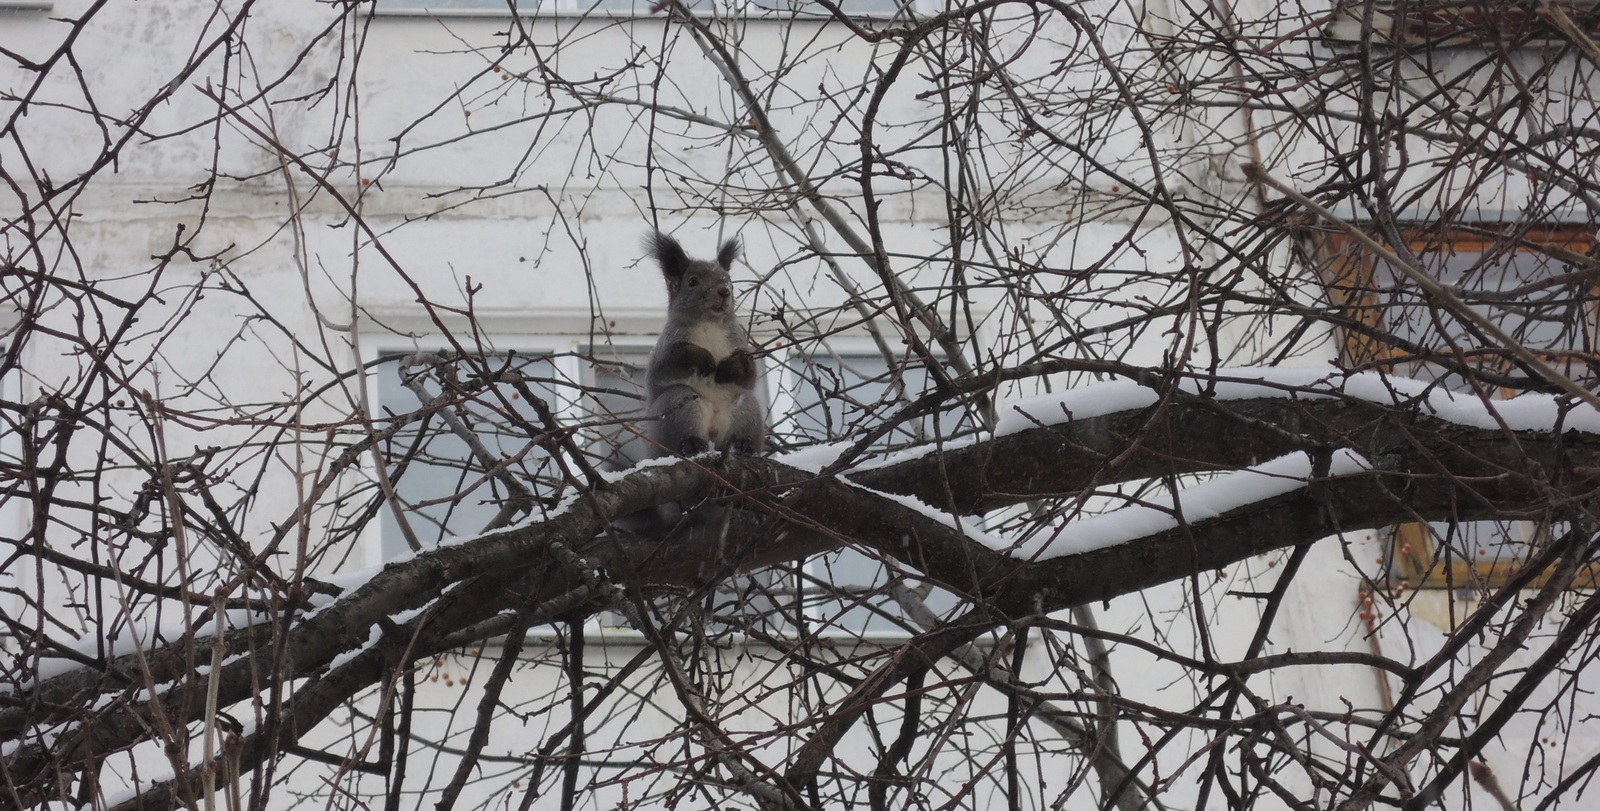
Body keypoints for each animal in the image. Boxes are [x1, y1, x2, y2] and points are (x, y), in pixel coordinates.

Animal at [640, 231, 764, 457]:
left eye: (730, 281)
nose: (724, 291)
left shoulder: (737, 342)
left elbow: (749, 372)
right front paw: (705, 360)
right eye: (692, 281)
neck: (709, 324)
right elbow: (671, 361)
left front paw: (727, 368)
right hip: (678, 407)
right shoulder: (667, 346)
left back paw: (743, 444)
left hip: (745, 410)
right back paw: (692, 444)